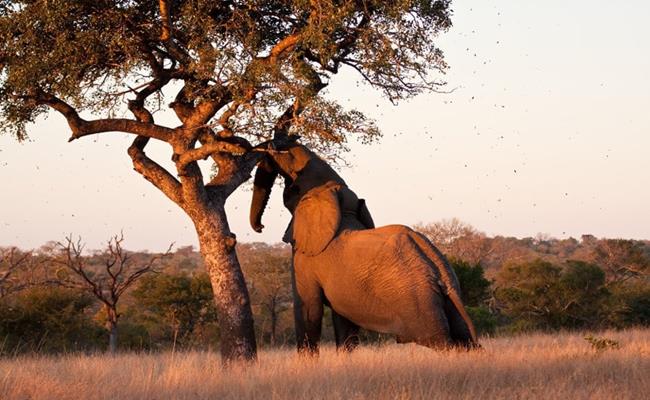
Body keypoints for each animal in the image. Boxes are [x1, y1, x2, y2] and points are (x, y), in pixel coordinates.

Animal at [248, 139, 476, 352]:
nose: (260, 227)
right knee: (463, 339)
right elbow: (343, 321)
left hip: (417, 300)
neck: (336, 200)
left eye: (291, 191)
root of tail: (440, 270)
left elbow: (308, 309)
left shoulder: (305, 258)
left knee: (440, 340)